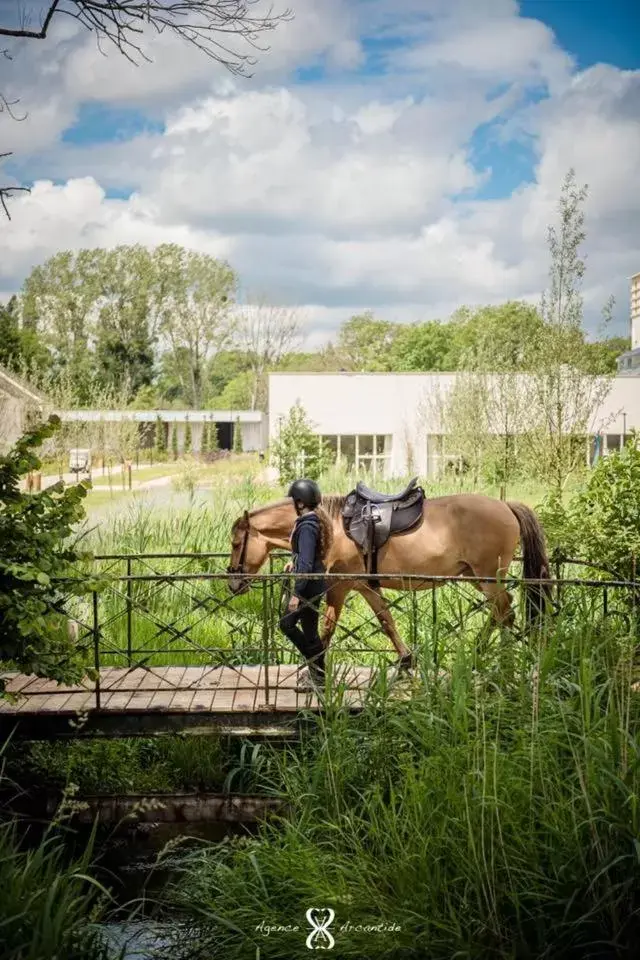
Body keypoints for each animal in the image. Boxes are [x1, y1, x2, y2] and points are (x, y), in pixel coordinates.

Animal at [229, 496, 552, 668]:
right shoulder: (364, 587)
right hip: (474, 576)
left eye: (235, 543)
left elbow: (328, 627)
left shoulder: (339, 588)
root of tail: (506, 506)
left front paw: (314, 665)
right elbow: (386, 620)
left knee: (504, 611)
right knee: (501, 612)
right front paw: (406, 658)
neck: (329, 528)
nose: (233, 582)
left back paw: (487, 656)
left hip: (487, 577)